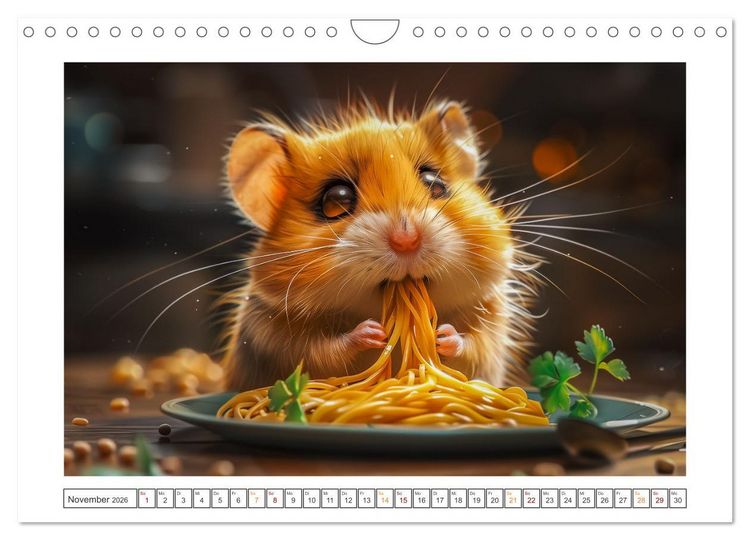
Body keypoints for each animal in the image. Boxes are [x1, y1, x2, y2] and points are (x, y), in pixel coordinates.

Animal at [220, 99, 539, 390]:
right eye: (335, 200)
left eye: (435, 183)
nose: (407, 240)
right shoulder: (274, 338)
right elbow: (321, 351)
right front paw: (372, 333)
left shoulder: (493, 324)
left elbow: (473, 346)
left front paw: (442, 335)